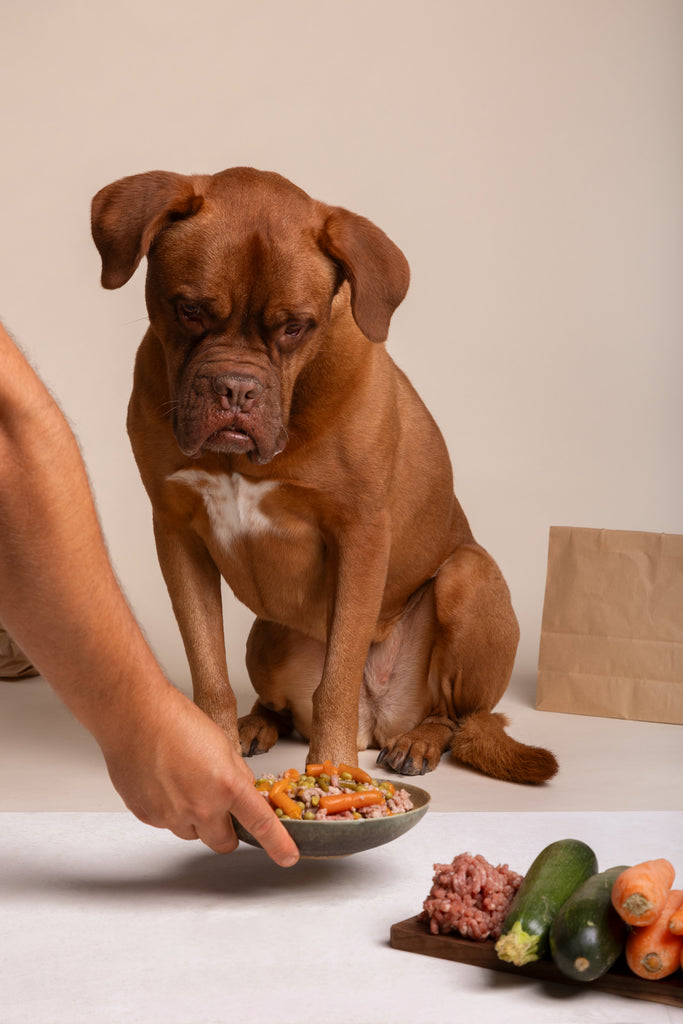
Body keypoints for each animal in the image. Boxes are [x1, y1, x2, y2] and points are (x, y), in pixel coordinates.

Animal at [92, 165, 561, 782]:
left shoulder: (360, 537)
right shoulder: (176, 532)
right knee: (279, 702)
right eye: (189, 310)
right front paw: (213, 749)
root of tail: (378, 720)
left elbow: (336, 675)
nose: (236, 390)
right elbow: (207, 667)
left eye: (295, 327)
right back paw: (256, 723)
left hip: (470, 578)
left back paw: (419, 740)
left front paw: (331, 767)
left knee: (460, 717)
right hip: (265, 635)